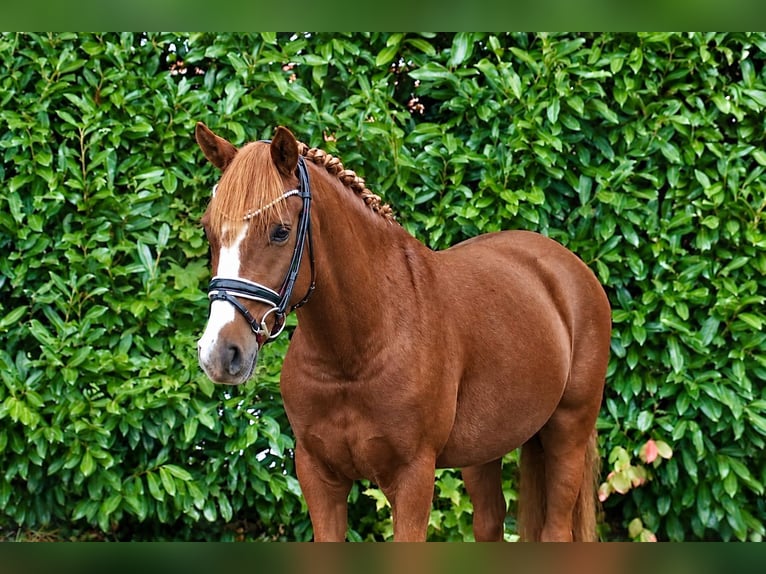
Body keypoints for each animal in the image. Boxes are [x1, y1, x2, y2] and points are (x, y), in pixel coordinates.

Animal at [194, 122, 612, 542]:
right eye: (209, 231)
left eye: (280, 232)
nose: (220, 352)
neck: (355, 354)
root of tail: (569, 268)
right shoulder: (318, 475)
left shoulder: (413, 477)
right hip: (484, 449)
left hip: (568, 432)